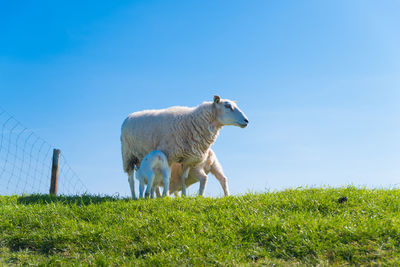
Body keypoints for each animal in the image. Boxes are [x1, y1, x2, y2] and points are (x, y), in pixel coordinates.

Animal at [120, 95, 248, 200]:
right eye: (227, 106)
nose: (246, 120)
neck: (193, 121)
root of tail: (129, 116)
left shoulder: (187, 159)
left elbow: (183, 178)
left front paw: (183, 196)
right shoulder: (170, 156)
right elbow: (168, 177)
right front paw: (166, 195)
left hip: (140, 158)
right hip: (128, 155)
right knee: (131, 179)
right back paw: (135, 196)